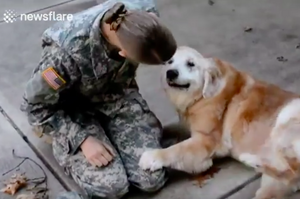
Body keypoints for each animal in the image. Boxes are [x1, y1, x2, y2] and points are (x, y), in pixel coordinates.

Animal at [139, 46, 300, 199]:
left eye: (191, 64)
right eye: (169, 62)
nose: (171, 73)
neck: (201, 96)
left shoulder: (205, 141)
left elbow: (175, 149)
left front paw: (152, 156)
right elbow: (173, 127)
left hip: (286, 116)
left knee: (293, 172)